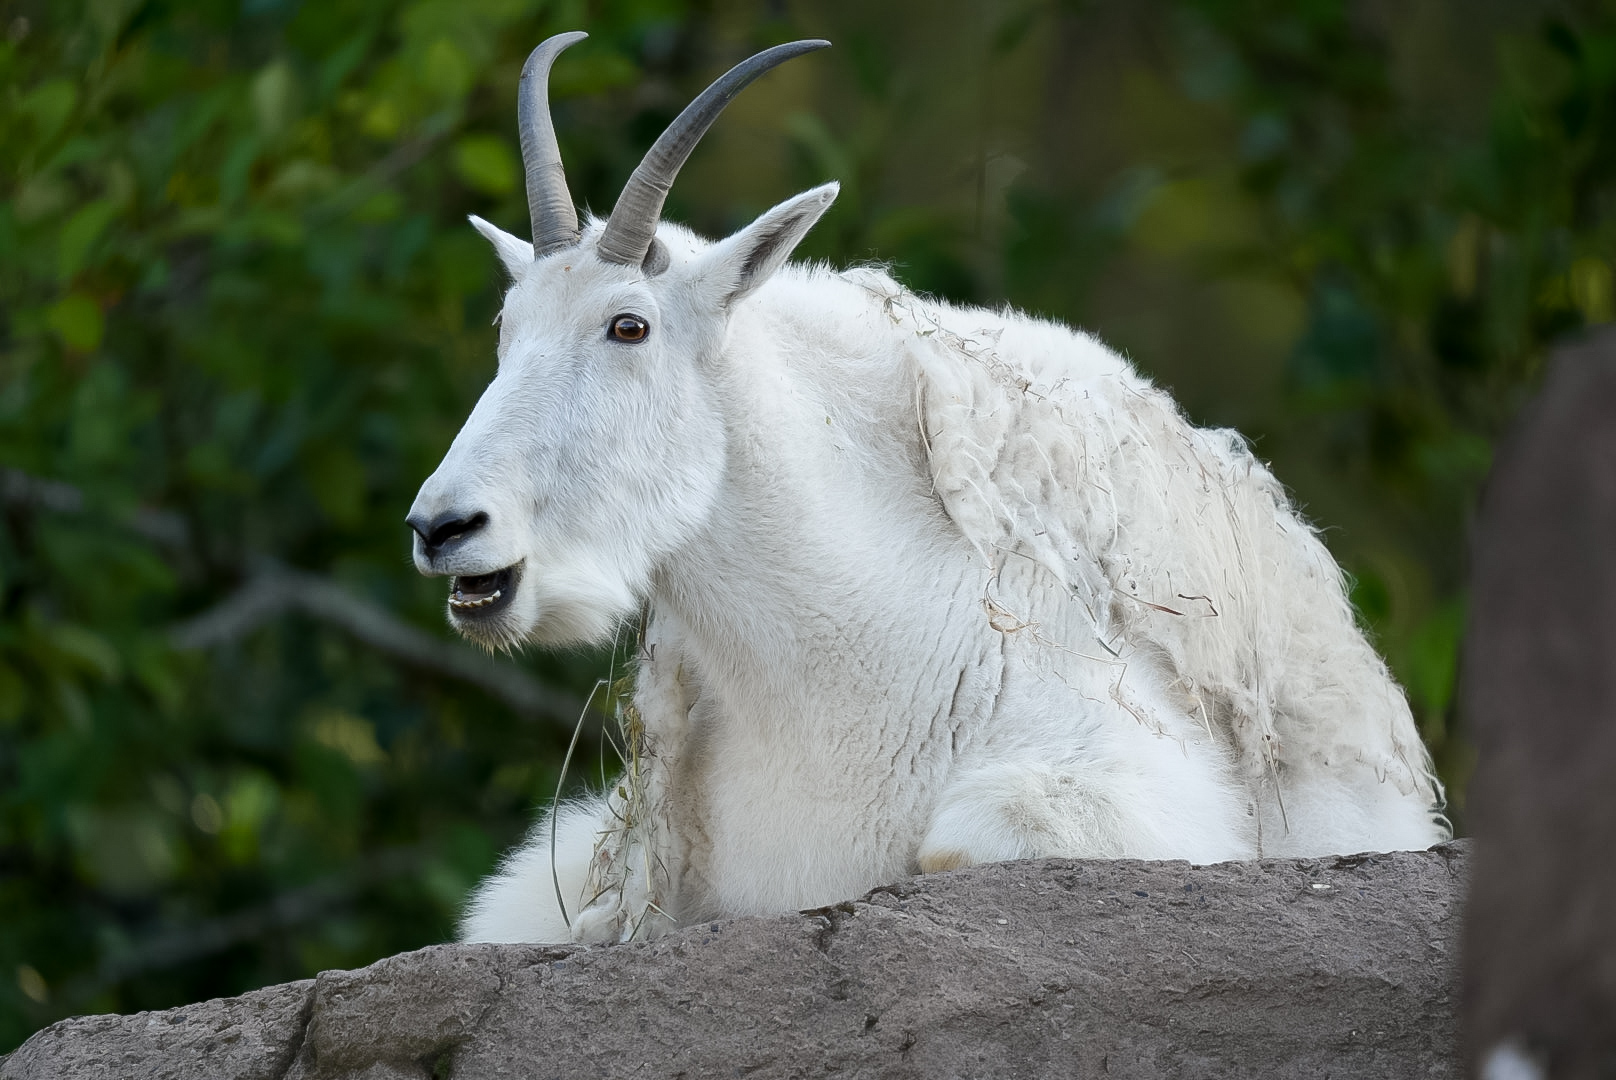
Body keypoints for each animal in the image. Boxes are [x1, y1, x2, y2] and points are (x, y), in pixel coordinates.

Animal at [407, 34, 1449, 944]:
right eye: (506, 328)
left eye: (629, 326)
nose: (442, 526)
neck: (832, 663)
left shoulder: (1135, 786)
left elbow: (963, 846)